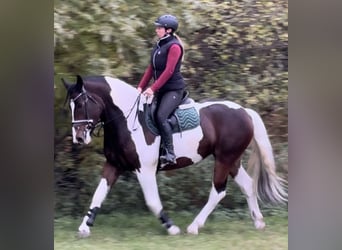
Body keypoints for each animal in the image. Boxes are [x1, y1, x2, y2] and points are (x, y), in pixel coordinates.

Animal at [62, 73, 288, 236]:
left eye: (81, 104)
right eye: (71, 106)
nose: (79, 138)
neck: (127, 121)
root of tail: (244, 111)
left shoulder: (144, 170)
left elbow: (152, 201)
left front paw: (171, 228)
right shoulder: (113, 165)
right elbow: (98, 195)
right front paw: (85, 226)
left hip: (224, 159)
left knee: (218, 191)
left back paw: (194, 227)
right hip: (231, 160)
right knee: (248, 185)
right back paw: (258, 222)